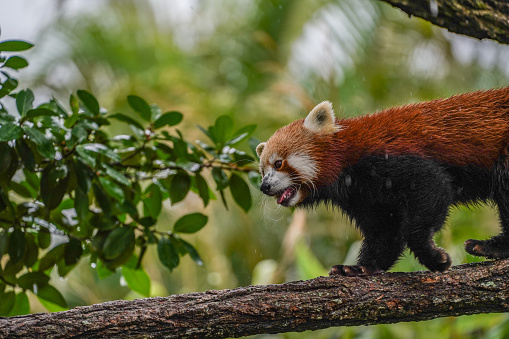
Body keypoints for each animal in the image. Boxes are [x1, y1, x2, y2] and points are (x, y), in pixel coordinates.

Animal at [256, 87, 508, 276]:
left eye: (278, 163)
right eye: (262, 170)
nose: (264, 186)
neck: (347, 166)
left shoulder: (390, 160)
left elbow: (433, 187)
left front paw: (433, 256)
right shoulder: (364, 196)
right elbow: (384, 231)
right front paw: (360, 268)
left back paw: (493, 247)